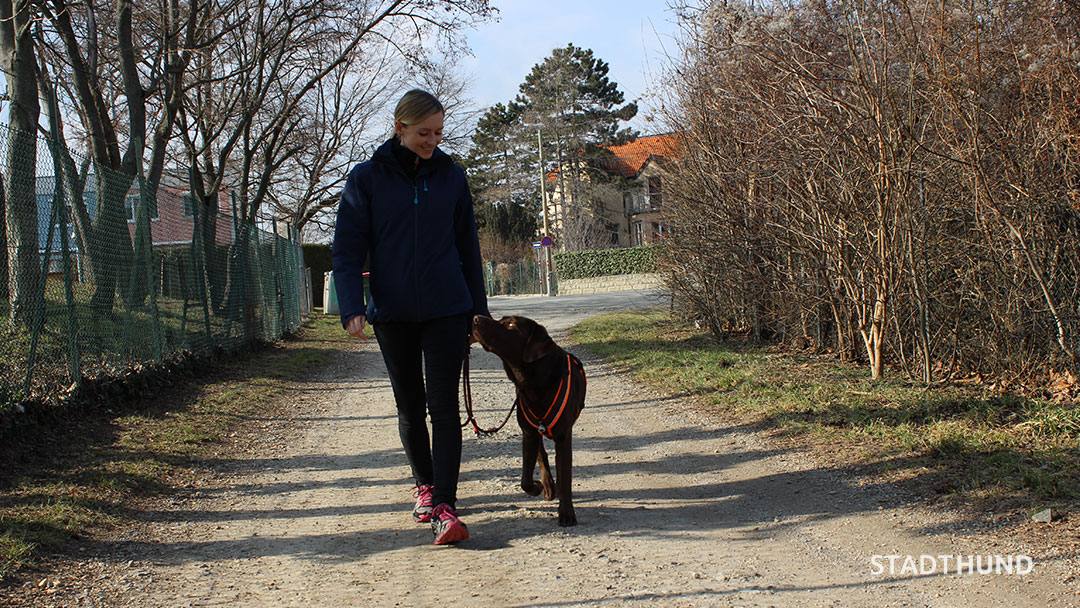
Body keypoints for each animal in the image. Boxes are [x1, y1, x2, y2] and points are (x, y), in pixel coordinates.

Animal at [473, 317, 587, 524]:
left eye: (511, 325)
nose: (475, 317)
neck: (534, 382)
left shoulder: (563, 437)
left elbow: (565, 478)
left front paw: (567, 514)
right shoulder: (529, 433)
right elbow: (525, 479)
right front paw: (537, 487)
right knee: (542, 456)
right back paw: (548, 486)